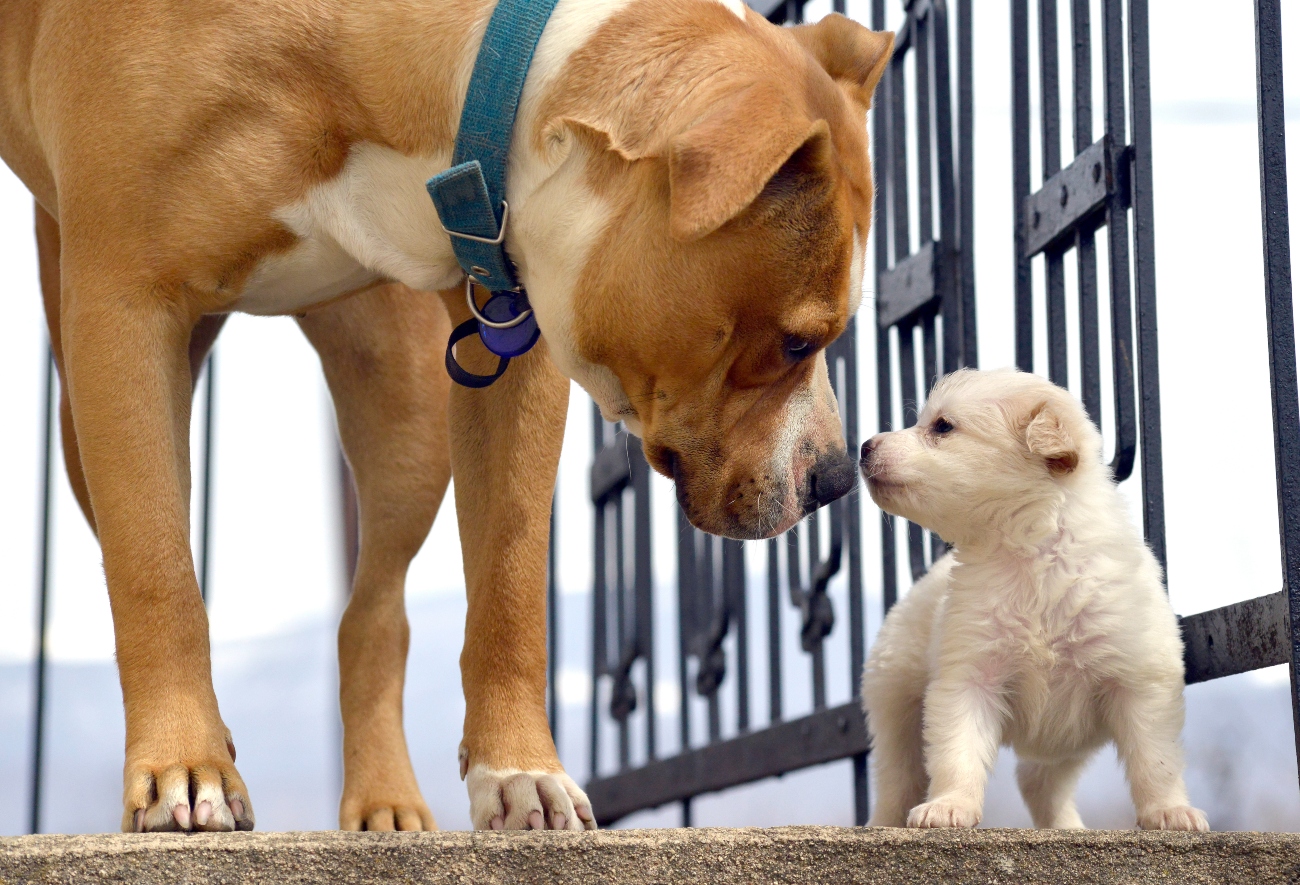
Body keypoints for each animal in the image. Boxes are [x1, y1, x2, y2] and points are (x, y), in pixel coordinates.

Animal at [0, 0, 894, 826]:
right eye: (795, 341)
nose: (834, 476)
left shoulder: (516, 329)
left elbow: (510, 571)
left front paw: (520, 769)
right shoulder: (122, 311)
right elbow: (155, 568)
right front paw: (186, 763)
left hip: (404, 413)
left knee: (373, 613)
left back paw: (384, 801)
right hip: (86, 410)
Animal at [852, 366, 1206, 826]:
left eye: (943, 427)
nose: (864, 446)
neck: (1030, 554)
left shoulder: (1140, 680)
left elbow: (1155, 759)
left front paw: (1169, 811)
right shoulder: (968, 675)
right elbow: (957, 751)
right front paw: (950, 805)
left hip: (1067, 738)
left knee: (1039, 780)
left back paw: (1068, 828)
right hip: (894, 700)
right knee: (898, 779)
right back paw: (882, 824)